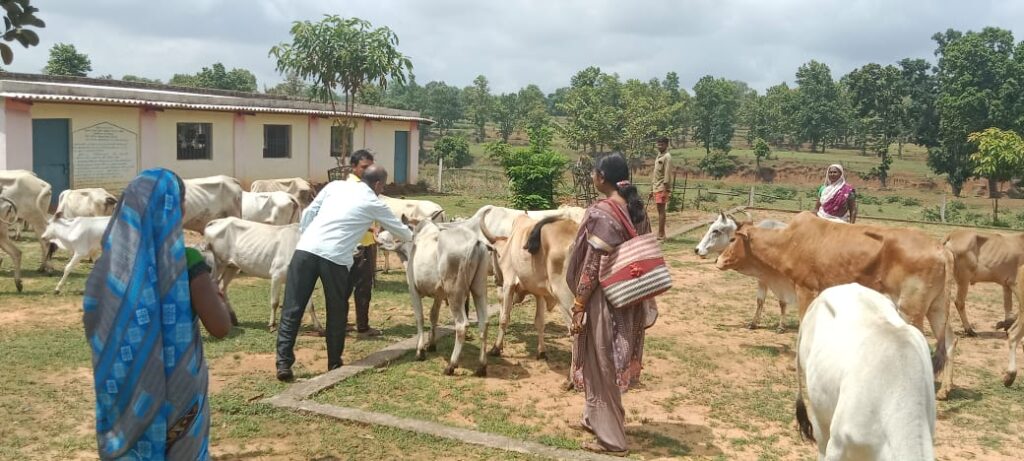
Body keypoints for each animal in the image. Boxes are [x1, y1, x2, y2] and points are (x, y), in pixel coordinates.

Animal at [387, 218, 491, 376]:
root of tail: (475, 242)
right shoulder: (439, 294)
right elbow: (433, 315)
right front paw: (431, 344)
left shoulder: (413, 290)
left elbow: (420, 317)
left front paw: (420, 351)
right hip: (479, 288)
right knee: (484, 322)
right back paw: (481, 366)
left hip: (454, 293)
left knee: (461, 325)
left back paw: (451, 365)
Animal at [477, 212, 577, 360]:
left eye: (491, 253)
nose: (496, 279)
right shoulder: (540, 293)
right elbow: (540, 322)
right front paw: (541, 352)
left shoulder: (509, 284)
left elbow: (504, 318)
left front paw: (496, 348)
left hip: (566, 299)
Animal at [716, 212, 954, 399]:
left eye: (732, 239)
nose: (717, 261)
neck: (789, 242)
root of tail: (941, 249)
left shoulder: (805, 290)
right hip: (936, 309)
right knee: (950, 341)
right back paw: (944, 390)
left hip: (911, 310)